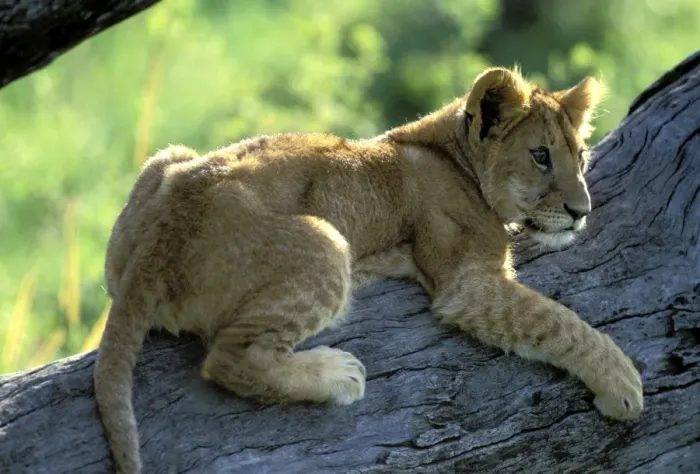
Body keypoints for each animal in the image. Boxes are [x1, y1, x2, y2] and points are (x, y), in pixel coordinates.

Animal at [94, 67, 643, 473]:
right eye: (540, 156)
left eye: (581, 156)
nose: (582, 211)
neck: (451, 154)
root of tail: (161, 238)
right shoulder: (464, 282)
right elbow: (557, 321)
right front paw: (621, 382)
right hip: (325, 243)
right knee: (229, 359)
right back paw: (338, 375)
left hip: (168, 160)